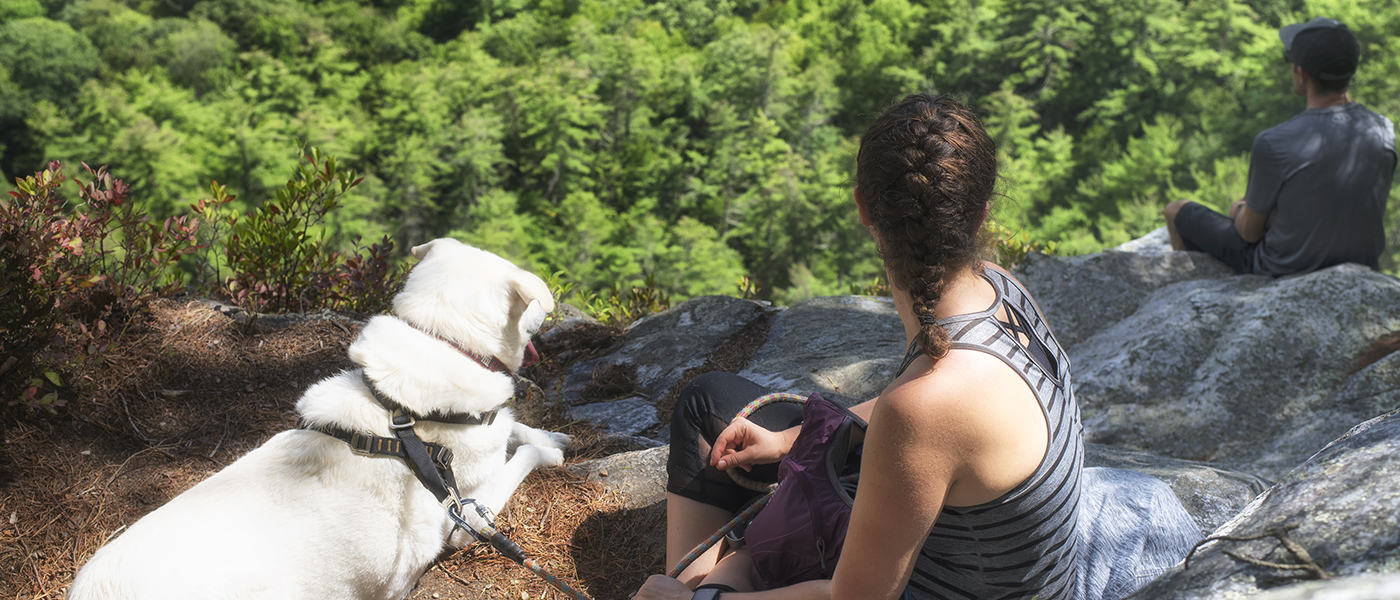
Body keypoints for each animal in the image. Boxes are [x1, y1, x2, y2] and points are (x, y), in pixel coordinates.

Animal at [68, 239, 571, 598]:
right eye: (534, 307)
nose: (549, 315)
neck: (439, 341)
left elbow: (517, 426)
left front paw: (555, 434)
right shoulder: (468, 517)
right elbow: (523, 453)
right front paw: (550, 452)